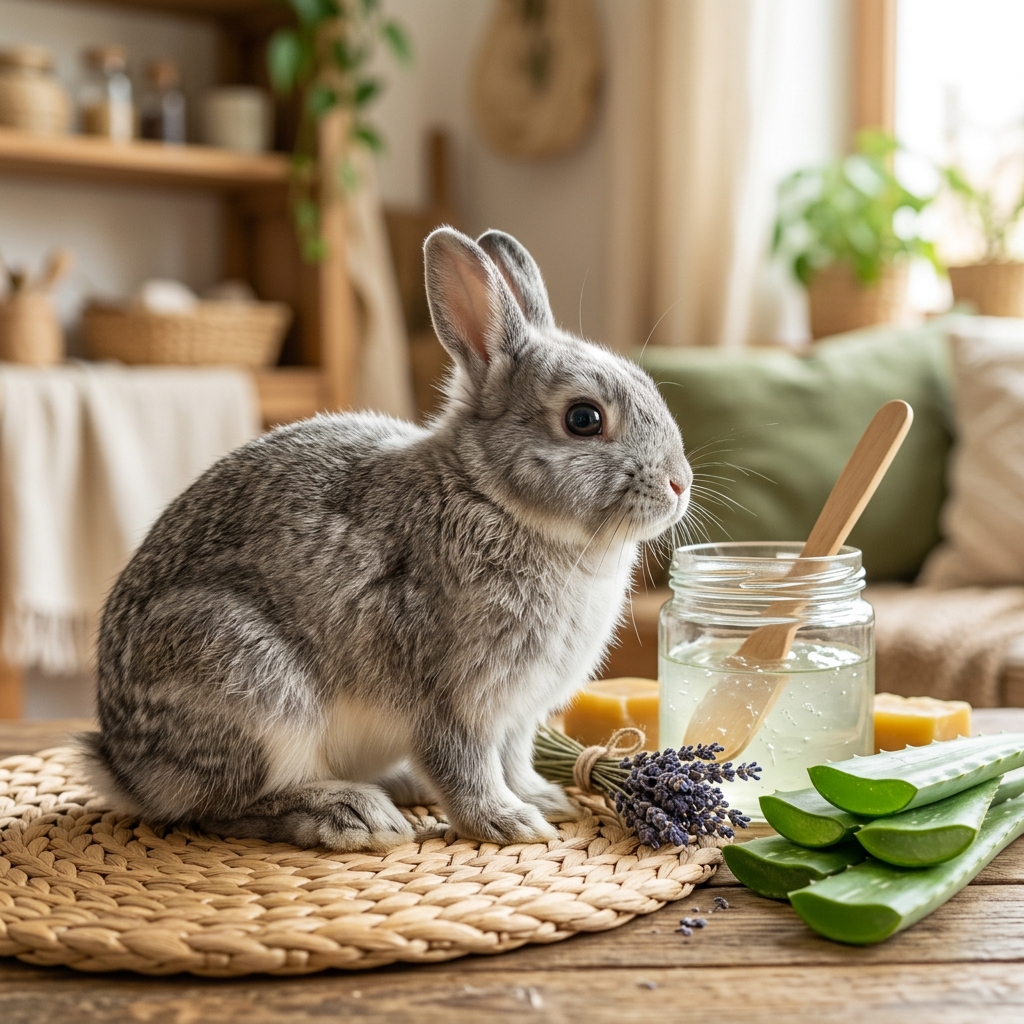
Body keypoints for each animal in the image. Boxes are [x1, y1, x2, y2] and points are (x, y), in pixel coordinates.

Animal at [79, 226, 692, 852]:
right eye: (584, 419)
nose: (680, 483)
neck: (492, 496)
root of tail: (126, 769)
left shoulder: (517, 715)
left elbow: (514, 759)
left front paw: (545, 800)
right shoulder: (453, 699)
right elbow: (465, 766)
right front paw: (509, 823)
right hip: (251, 685)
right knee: (224, 808)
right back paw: (353, 814)